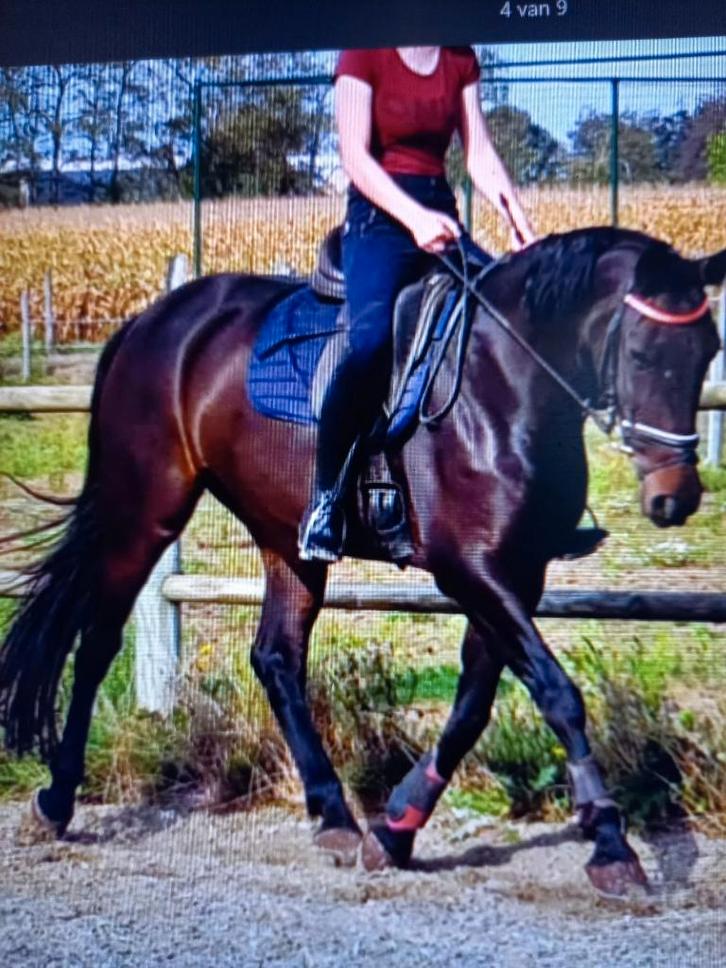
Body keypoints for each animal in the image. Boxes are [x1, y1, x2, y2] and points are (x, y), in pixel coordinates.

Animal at [1, 226, 723, 897]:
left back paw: (334, 816)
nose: (675, 497)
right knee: (97, 644)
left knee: (275, 657)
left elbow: (473, 704)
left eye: (709, 350)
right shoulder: (471, 571)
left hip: (285, 537)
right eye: (640, 353)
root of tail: (151, 319)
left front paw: (396, 828)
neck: (502, 382)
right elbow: (556, 693)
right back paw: (57, 800)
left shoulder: (516, 574)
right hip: (145, 509)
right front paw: (611, 845)